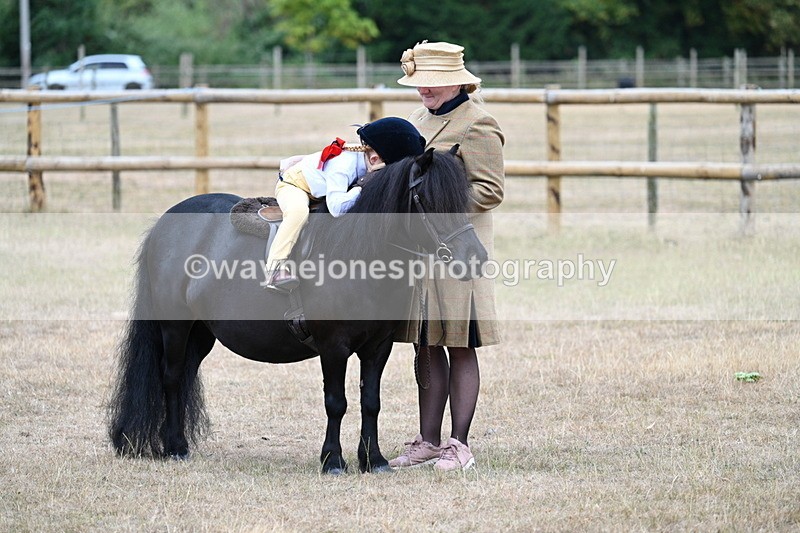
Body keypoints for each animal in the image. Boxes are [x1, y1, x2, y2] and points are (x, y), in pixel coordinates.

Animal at [107, 147, 488, 474]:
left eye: (464, 199)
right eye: (430, 201)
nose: (476, 258)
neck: (359, 254)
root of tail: (164, 223)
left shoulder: (378, 347)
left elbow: (370, 401)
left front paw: (374, 460)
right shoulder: (333, 347)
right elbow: (336, 402)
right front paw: (333, 461)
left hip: (200, 334)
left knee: (184, 373)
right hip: (174, 325)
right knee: (171, 377)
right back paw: (175, 448)